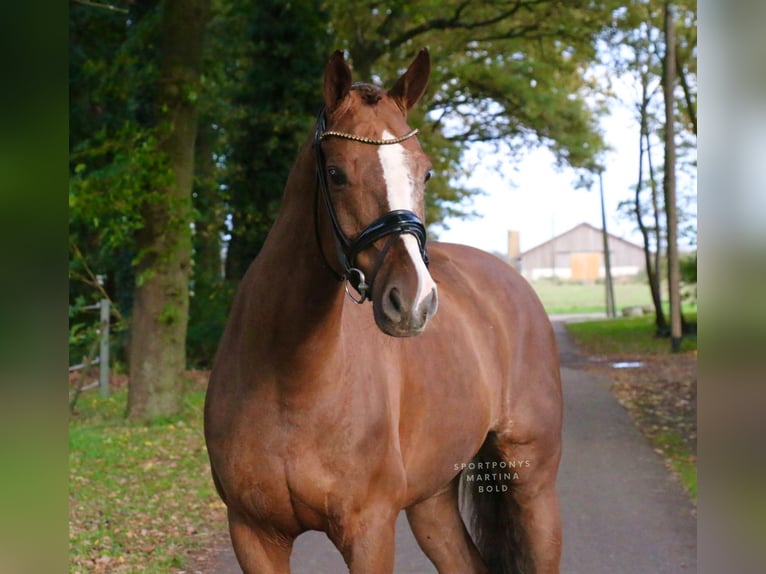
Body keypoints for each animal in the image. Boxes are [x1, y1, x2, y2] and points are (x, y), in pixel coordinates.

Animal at [204, 48, 563, 574]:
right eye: (335, 173)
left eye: (425, 171)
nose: (413, 300)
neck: (291, 382)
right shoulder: (254, 534)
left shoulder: (369, 531)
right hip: (432, 501)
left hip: (532, 482)